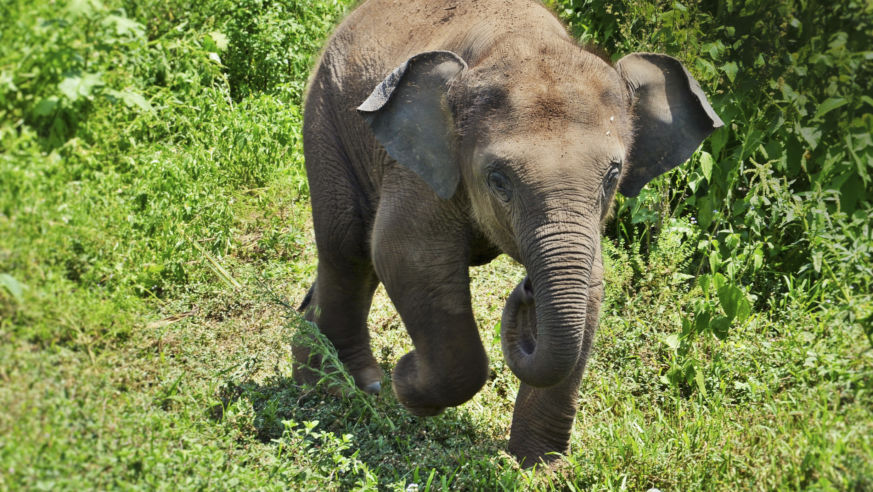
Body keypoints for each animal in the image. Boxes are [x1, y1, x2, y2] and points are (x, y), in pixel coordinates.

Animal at [293, 0, 723, 467]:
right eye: (498, 180)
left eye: (612, 175)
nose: (527, 290)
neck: (517, 43)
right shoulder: (424, 166)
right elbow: (407, 256)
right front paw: (406, 384)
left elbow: (591, 287)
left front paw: (539, 468)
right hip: (327, 115)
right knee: (347, 248)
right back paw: (346, 386)